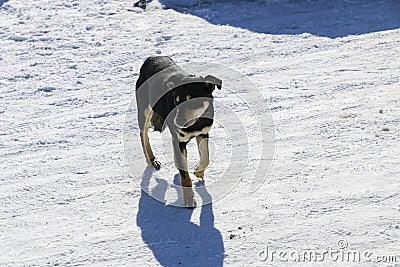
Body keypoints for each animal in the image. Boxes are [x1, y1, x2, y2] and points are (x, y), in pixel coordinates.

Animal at [135, 56, 222, 207]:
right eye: (176, 102)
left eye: (192, 101)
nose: (178, 122)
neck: (195, 124)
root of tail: (151, 58)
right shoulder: (179, 139)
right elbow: (184, 175)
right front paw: (188, 199)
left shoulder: (203, 132)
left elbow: (205, 157)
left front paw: (199, 171)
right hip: (145, 110)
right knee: (143, 134)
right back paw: (152, 159)